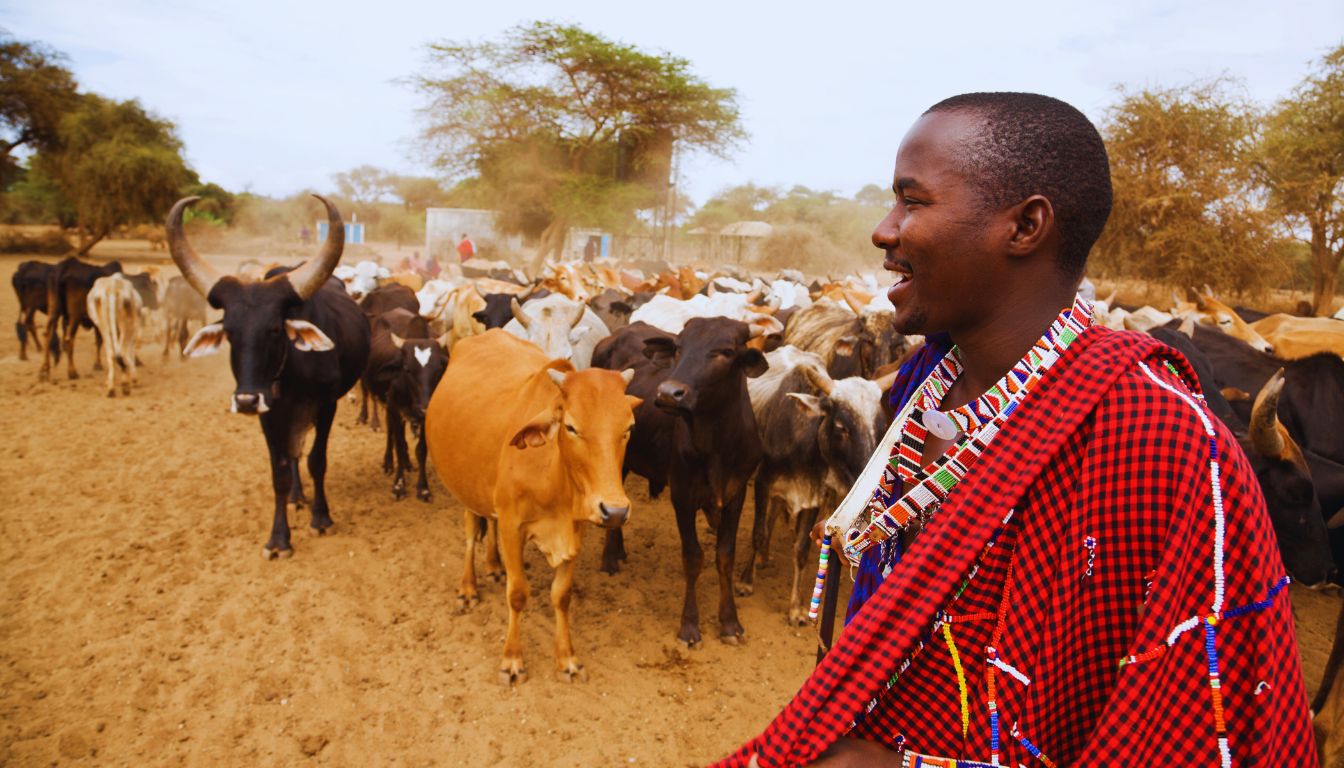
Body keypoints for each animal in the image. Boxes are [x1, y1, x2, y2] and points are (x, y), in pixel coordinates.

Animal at [173, 195, 376, 559]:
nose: (245, 400)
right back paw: (296, 495)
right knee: (293, 454)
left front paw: (321, 518)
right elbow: (280, 470)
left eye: (274, 330)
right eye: (230, 333)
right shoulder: (269, 415)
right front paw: (279, 538)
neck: (289, 372)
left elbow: (316, 460)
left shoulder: (326, 405)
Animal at [427, 330, 642, 685]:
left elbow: (561, 595)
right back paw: (468, 587)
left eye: (628, 428)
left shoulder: (575, 530)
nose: (614, 511)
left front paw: (567, 659)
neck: (552, 474)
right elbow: (517, 594)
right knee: (472, 533)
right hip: (464, 487)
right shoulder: (513, 527)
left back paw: (493, 565)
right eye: (571, 427)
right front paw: (512, 660)